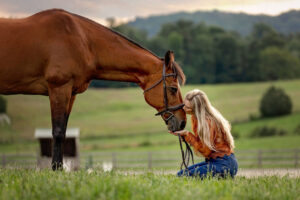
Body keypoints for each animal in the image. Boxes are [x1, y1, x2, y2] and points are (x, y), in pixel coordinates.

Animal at [0, 8, 186, 170]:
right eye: (173, 89)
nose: (183, 121)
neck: (82, 41)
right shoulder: (59, 89)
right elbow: (58, 132)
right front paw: (56, 171)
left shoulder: (70, 93)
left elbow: (64, 132)